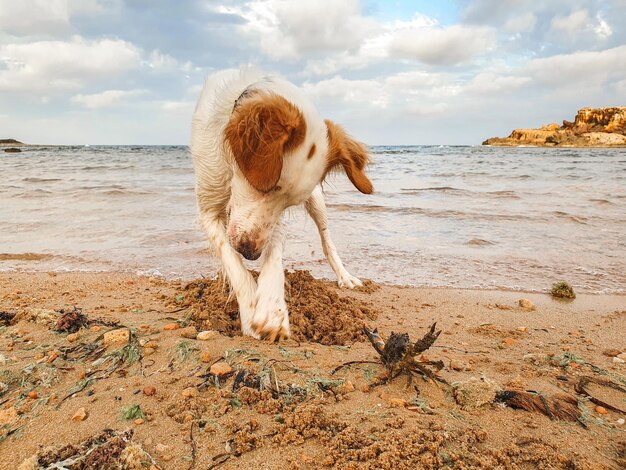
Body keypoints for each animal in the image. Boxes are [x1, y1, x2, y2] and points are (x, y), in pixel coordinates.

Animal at [189, 68, 370, 340]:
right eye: (266, 187)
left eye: (288, 204)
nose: (250, 253)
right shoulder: (209, 209)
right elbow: (233, 262)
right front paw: (250, 306)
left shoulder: (276, 221)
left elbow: (273, 256)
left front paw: (271, 311)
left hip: (317, 200)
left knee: (326, 239)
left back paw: (344, 276)